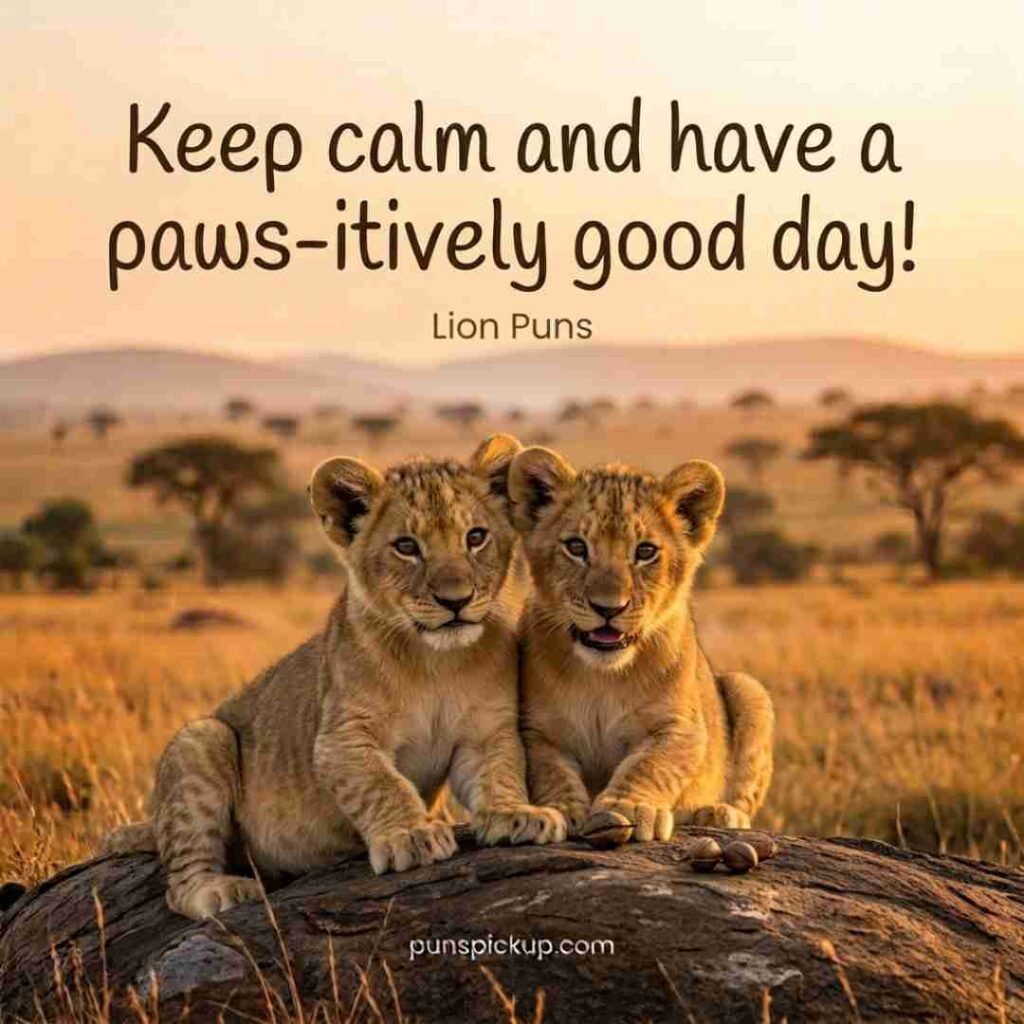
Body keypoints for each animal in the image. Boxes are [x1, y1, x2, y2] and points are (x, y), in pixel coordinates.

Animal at [103, 435, 565, 919]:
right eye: (406, 546)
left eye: (475, 537)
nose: (454, 600)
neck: (435, 662)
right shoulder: (341, 740)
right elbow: (382, 785)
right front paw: (411, 835)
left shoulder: (486, 731)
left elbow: (501, 771)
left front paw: (517, 814)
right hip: (201, 738)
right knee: (179, 881)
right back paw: (221, 889)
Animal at [507, 447, 774, 841]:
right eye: (576, 547)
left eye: (645, 551)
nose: (608, 608)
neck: (602, 676)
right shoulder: (537, 730)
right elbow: (550, 771)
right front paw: (563, 808)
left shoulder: (680, 727)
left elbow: (649, 766)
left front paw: (628, 808)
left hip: (748, 689)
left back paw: (717, 814)